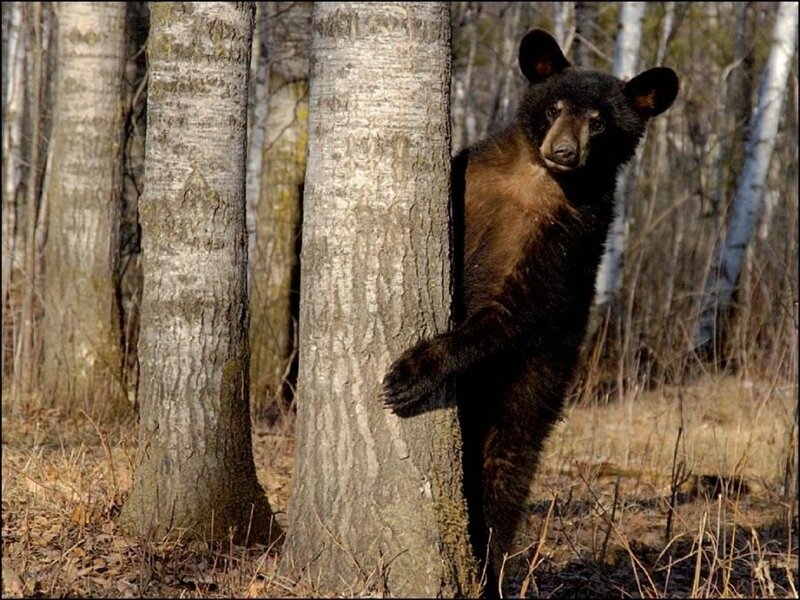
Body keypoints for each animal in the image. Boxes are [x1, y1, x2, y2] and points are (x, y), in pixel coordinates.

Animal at [381, 29, 679, 596]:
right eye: (555, 106)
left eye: (599, 121)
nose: (564, 151)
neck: (534, 183)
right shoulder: (471, 180)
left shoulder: (566, 239)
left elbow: (512, 308)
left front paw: (410, 374)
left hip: (532, 388)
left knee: (504, 474)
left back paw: (488, 568)